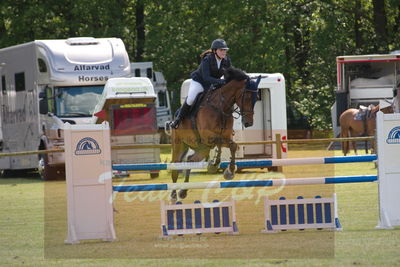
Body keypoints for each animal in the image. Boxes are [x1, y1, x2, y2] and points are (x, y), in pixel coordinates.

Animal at [168, 67, 260, 201]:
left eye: (256, 98)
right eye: (247, 97)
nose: (248, 123)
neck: (221, 107)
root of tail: (175, 115)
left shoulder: (224, 137)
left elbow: (232, 146)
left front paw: (228, 171)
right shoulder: (208, 137)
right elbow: (221, 143)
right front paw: (217, 164)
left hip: (202, 148)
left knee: (191, 160)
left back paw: (183, 191)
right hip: (179, 145)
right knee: (175, 166)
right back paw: (174, 195)